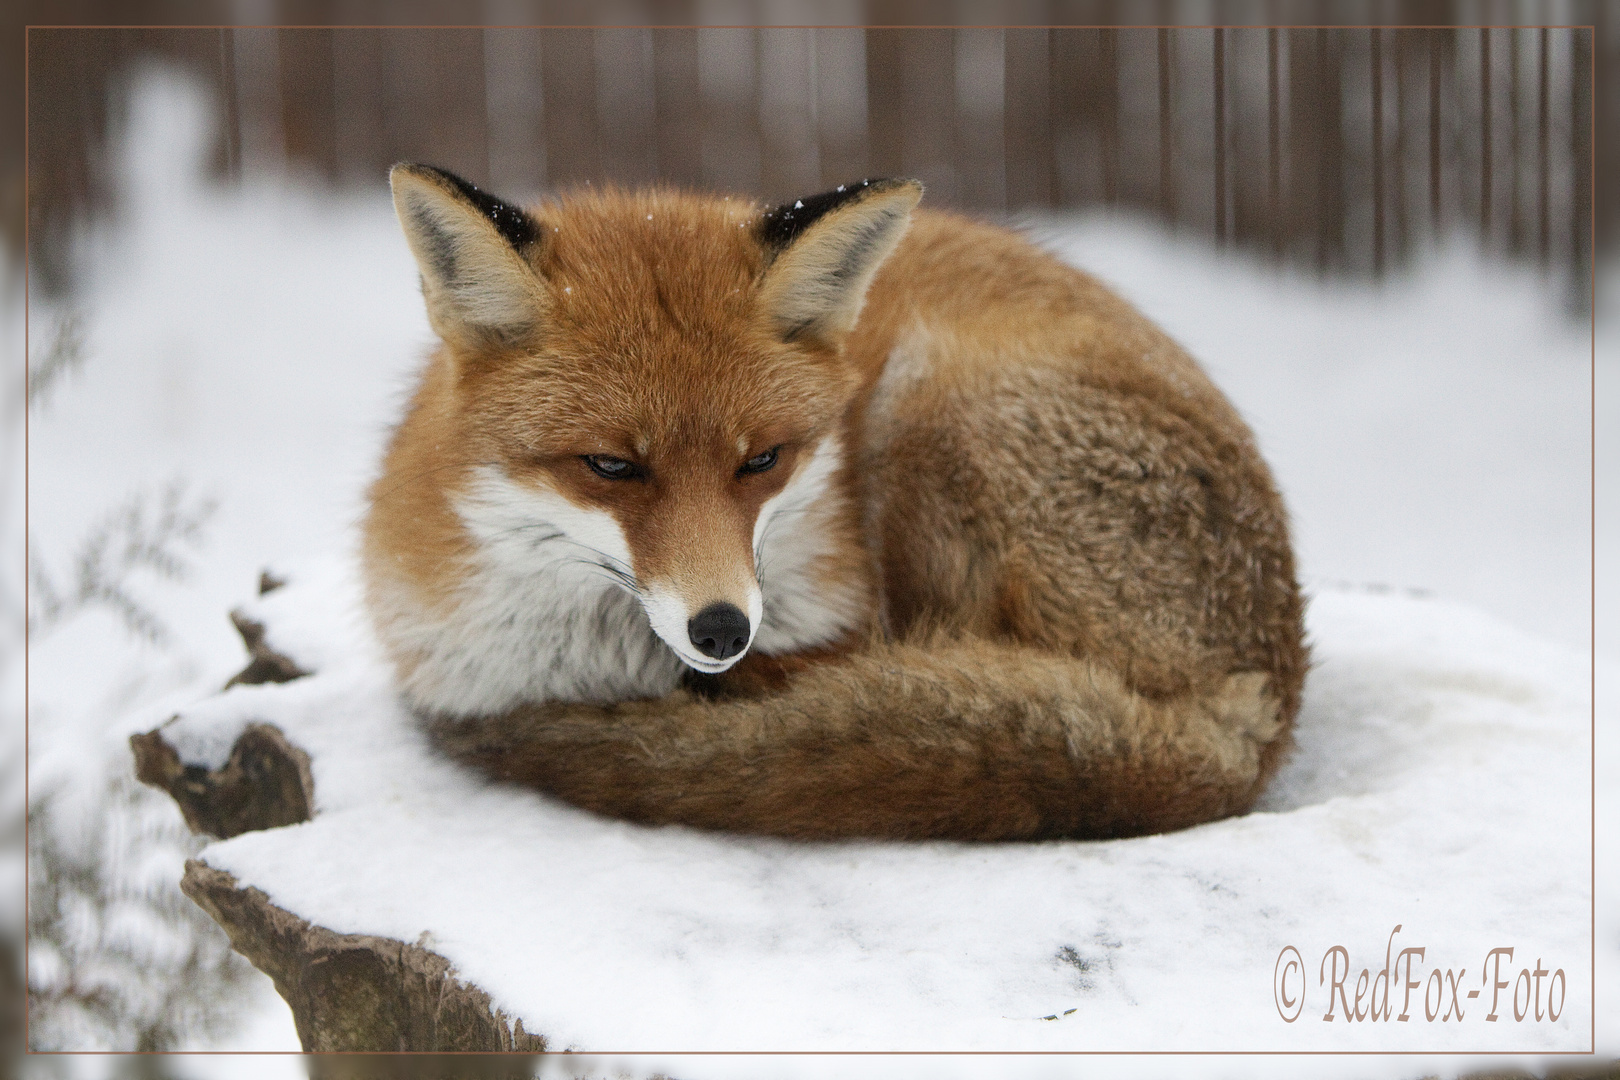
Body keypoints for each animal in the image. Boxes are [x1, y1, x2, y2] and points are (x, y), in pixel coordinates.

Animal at [361, 162, 1308, 841]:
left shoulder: (849, 609)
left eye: (762, 460)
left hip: (926, 402)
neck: (590, 660)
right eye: (610, 466)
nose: (722, 630)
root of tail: (1264, 709)